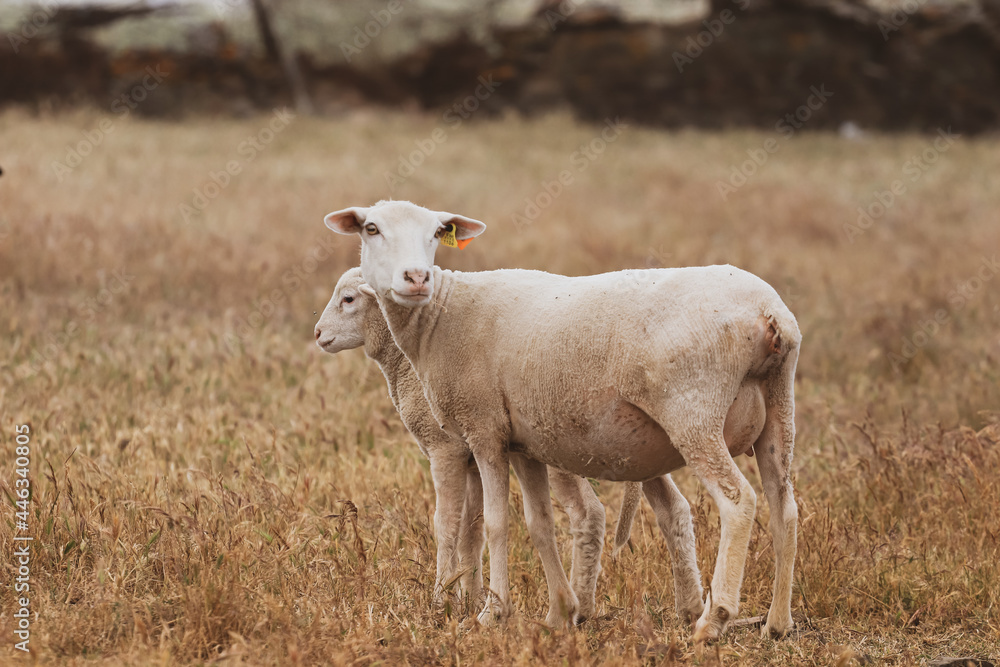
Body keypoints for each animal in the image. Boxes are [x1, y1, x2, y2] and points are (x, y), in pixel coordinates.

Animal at [324, 200, 801, 643]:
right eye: (371, 229)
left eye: (438, 232)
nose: (417, 278)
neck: (441, 315)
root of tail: (769, 312)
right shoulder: (522, 443)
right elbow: (538, 524)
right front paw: (559, 613)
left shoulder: (482, 431)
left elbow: (490, 524)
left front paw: (487, 612)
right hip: (778, 411)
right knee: (784, 508)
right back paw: (776, 623)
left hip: (694, 411)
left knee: (739, 503)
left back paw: (713, 619)